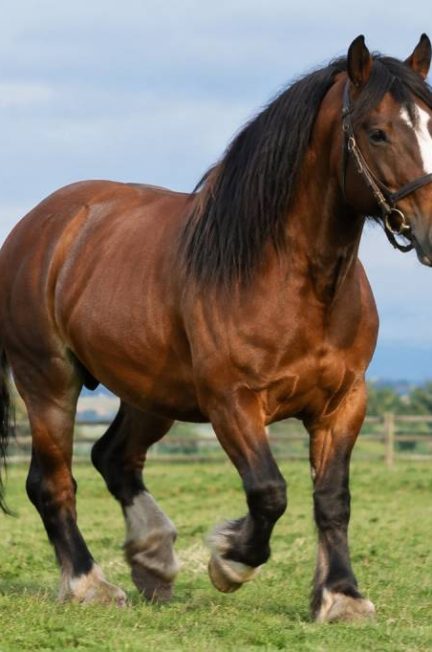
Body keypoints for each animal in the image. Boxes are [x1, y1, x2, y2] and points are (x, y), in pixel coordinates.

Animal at [1, 33, 432, 623]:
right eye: (377, 131)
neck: (292, 280)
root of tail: (42, 225)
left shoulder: (344, 402)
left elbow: (332, 499)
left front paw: (340, 595)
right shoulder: (232, 402)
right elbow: (270, 492)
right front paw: (230, 558)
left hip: (151, 393)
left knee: (114, 458)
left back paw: (153, 559)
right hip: (48, 383)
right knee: (53, 483)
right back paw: (90, 584)